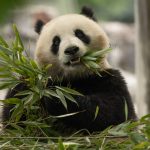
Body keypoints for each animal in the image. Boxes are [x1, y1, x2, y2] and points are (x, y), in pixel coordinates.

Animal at [2, 7, 137, 133]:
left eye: (80, 34)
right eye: (56, 41)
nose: (71, 49)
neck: (77, 76)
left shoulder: (107, 78)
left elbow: (113, 111)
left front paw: (57, 98)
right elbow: (14, 118)